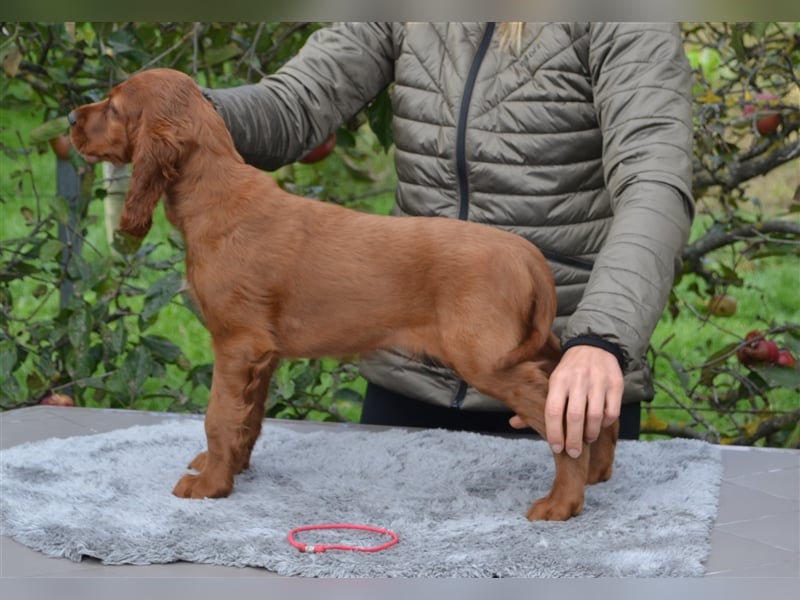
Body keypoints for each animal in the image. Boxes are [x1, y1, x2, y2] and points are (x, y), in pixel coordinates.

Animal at [69, 69, 620, 520]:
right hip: (529, 341)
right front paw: (231, 471)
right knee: (580, 394)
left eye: (114, 106)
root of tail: (526, 254)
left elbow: (219, 416)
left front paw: (209, 486)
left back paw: (563, 502)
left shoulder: (238, 343)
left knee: (555, 411)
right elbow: (247, 419)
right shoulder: (263, 353)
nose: (71, 116)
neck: (215, 193)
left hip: (486, 357)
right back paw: (597, 470)